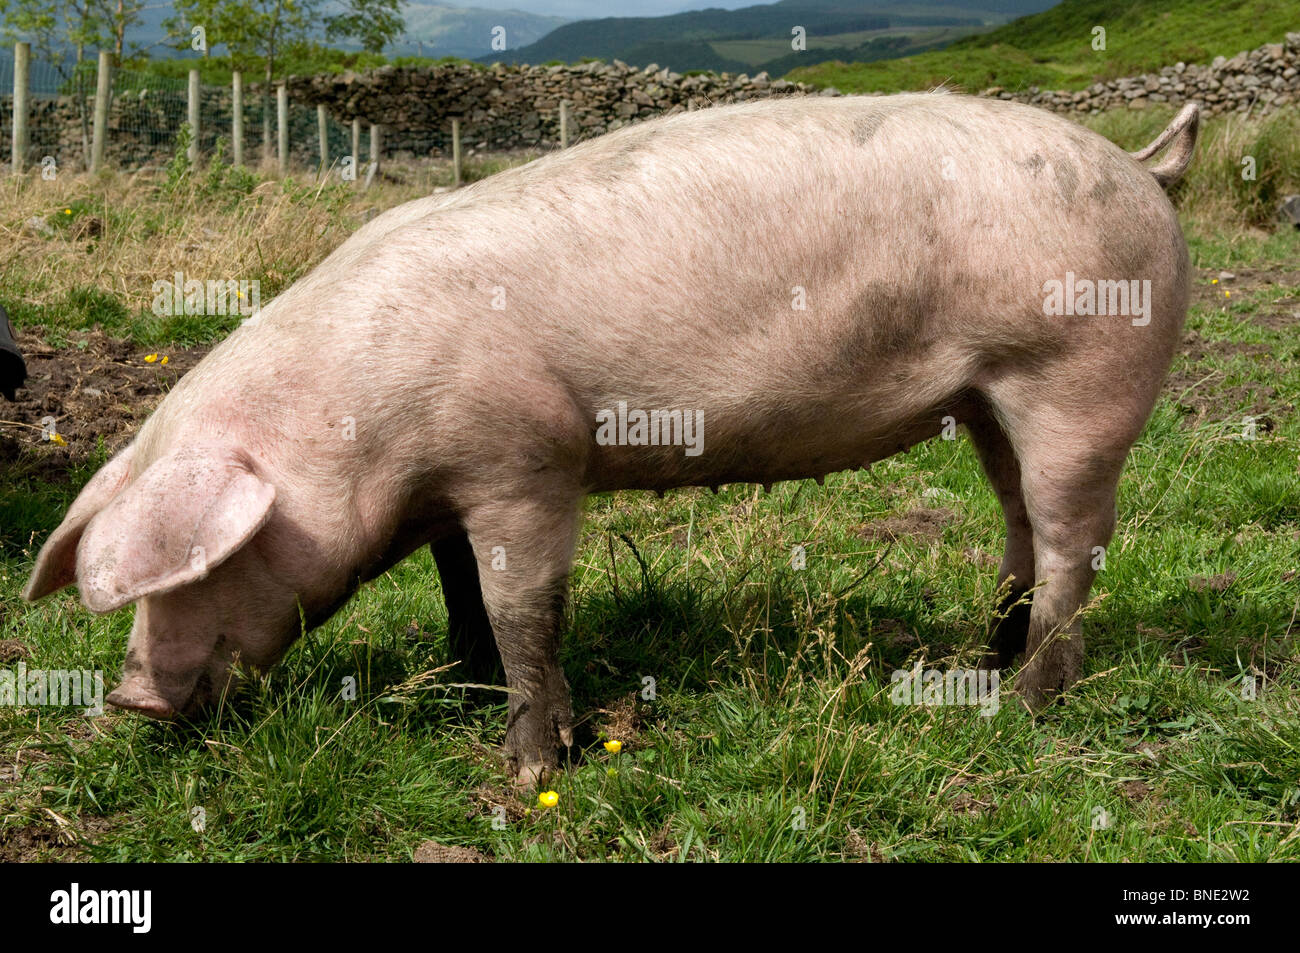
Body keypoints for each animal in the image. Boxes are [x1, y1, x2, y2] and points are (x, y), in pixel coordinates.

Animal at [24, 93, 1200, 785]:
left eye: (200, 568)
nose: (130, 696)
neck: (359, 436)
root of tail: (1144, 167)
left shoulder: (526, 460)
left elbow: (525, 606)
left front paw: (529, 765)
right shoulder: (456, 486)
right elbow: (464, 589)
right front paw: (465, 680)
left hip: (1077, 374)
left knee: (1074, 538)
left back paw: (1024, 704)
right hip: (988, 394)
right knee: (1017, 519)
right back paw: (980, 658)